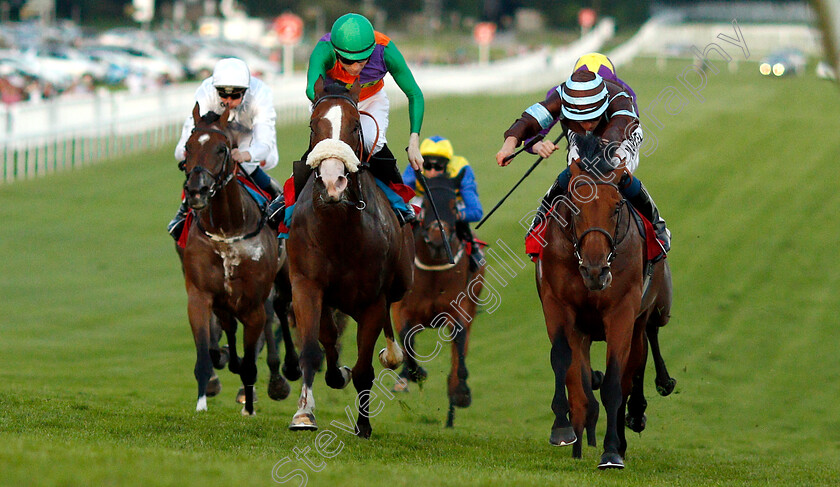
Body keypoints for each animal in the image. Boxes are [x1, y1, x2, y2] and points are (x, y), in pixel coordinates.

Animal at [177, 103, 286, 416]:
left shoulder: (253, 303)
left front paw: (248, 405)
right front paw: (202, 400)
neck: (228, 228)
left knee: (279, 314)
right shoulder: (200, 295)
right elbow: (207, 354)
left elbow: (250, 362)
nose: (196, 190)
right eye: (188, 146)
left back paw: (281, 379)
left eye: (222, 149)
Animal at [286, 80, 414, 438]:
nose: (333, 182)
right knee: (329, 338)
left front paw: (363, 425)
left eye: (356, 126)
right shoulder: (307, 286)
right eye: (313, 126)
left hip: (398, 283)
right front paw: (304, 414)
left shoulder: (372, 300)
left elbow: (364, 369)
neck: (338, 226)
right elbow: (313, 350)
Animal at [390, 176, 482, 428]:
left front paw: (461, 391)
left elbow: (459, 340)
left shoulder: (458, 308)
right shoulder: (402, 309)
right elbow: (406, 338)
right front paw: (414, 374)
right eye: (426, 205)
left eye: (453, 205)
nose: (438, 239)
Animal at [540, 133, 676, 468]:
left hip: (653, 309)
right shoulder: (557, 304)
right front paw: (563, 430)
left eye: (616, 208)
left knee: (643, 349)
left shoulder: (622, 311)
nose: (595, 270)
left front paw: (612, 451)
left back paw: (641, 409)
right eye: (575, 207)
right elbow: (566, 366)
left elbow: (616, 381)